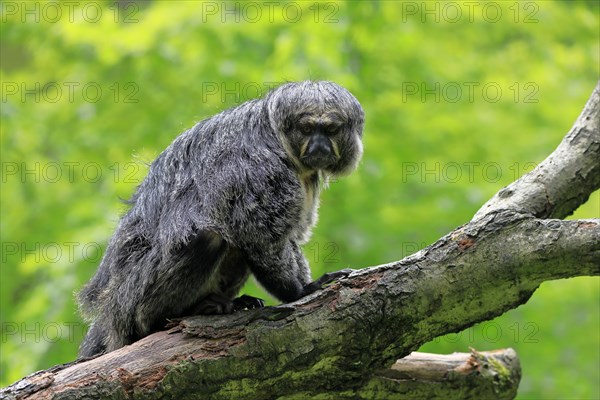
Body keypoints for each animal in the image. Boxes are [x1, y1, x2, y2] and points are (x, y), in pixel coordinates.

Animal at [77, 80, 364, 356]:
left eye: (330, 130)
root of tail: (109, 313)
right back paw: (172, 316)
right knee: (208, 237)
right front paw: (300, 291)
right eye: (306, 129)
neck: (279, 142)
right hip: (130, 301)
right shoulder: (260, 170)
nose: (319, 145)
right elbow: (259, 236)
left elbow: (288, 237)